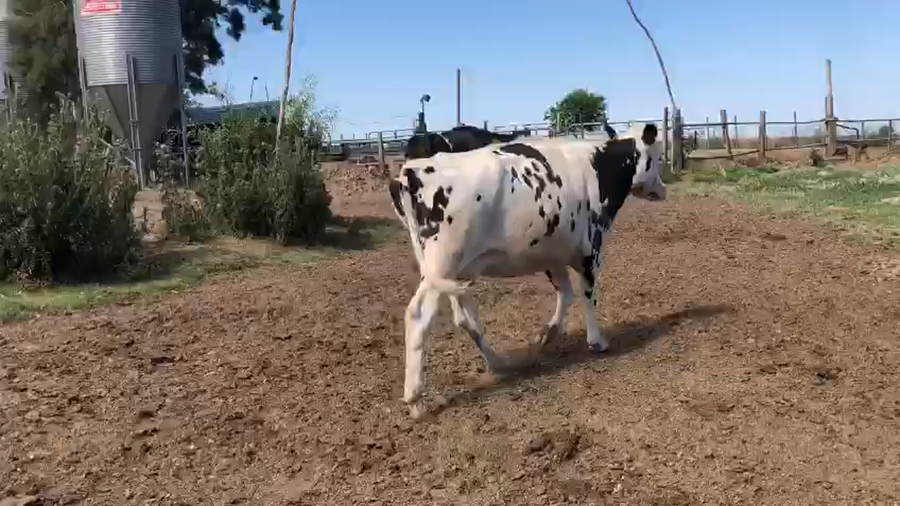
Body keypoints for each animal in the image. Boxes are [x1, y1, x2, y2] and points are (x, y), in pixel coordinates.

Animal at [387, 122, 666, 419]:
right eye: (659, 157)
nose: (663, 189)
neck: (597, 165)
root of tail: (409, 172)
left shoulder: (553, 253)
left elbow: (565, 293)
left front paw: (547, 333)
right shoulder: (591, 247)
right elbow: (587, 293)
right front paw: (596, 341)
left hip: (448, 272)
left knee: (466, 319)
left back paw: (499, 363)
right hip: (442, 265)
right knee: (419, 317)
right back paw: (415, 399)